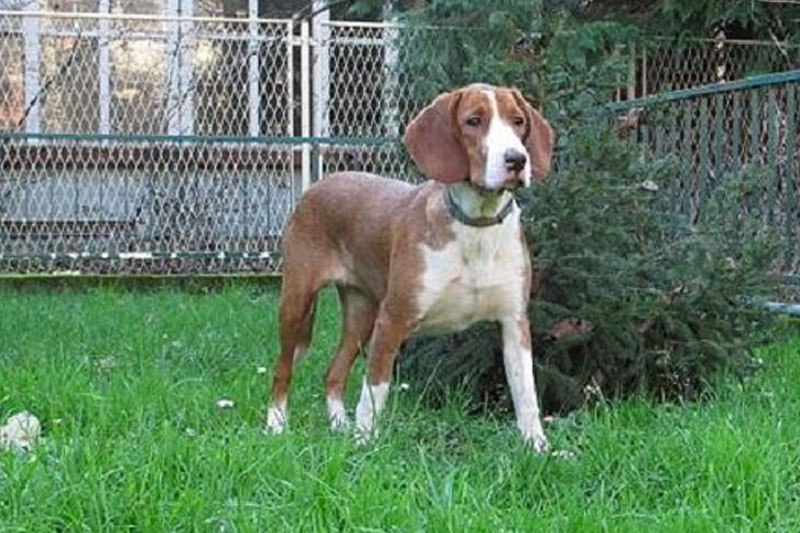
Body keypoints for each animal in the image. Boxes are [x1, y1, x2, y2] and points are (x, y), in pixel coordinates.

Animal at [266, 82, 552, 448]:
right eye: (473, 121)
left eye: (518, 121)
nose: (517, 159)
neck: (476, 227)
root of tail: (319, 184)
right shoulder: (393, 319)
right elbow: (374, 390)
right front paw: (364, 442)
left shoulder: (514, 322)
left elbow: (526, 394)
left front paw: (538, 447)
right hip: (297, 301)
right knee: (282, 369)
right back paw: (276, 425)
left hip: (362, 313)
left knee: (333, 372)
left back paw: (339, 425)